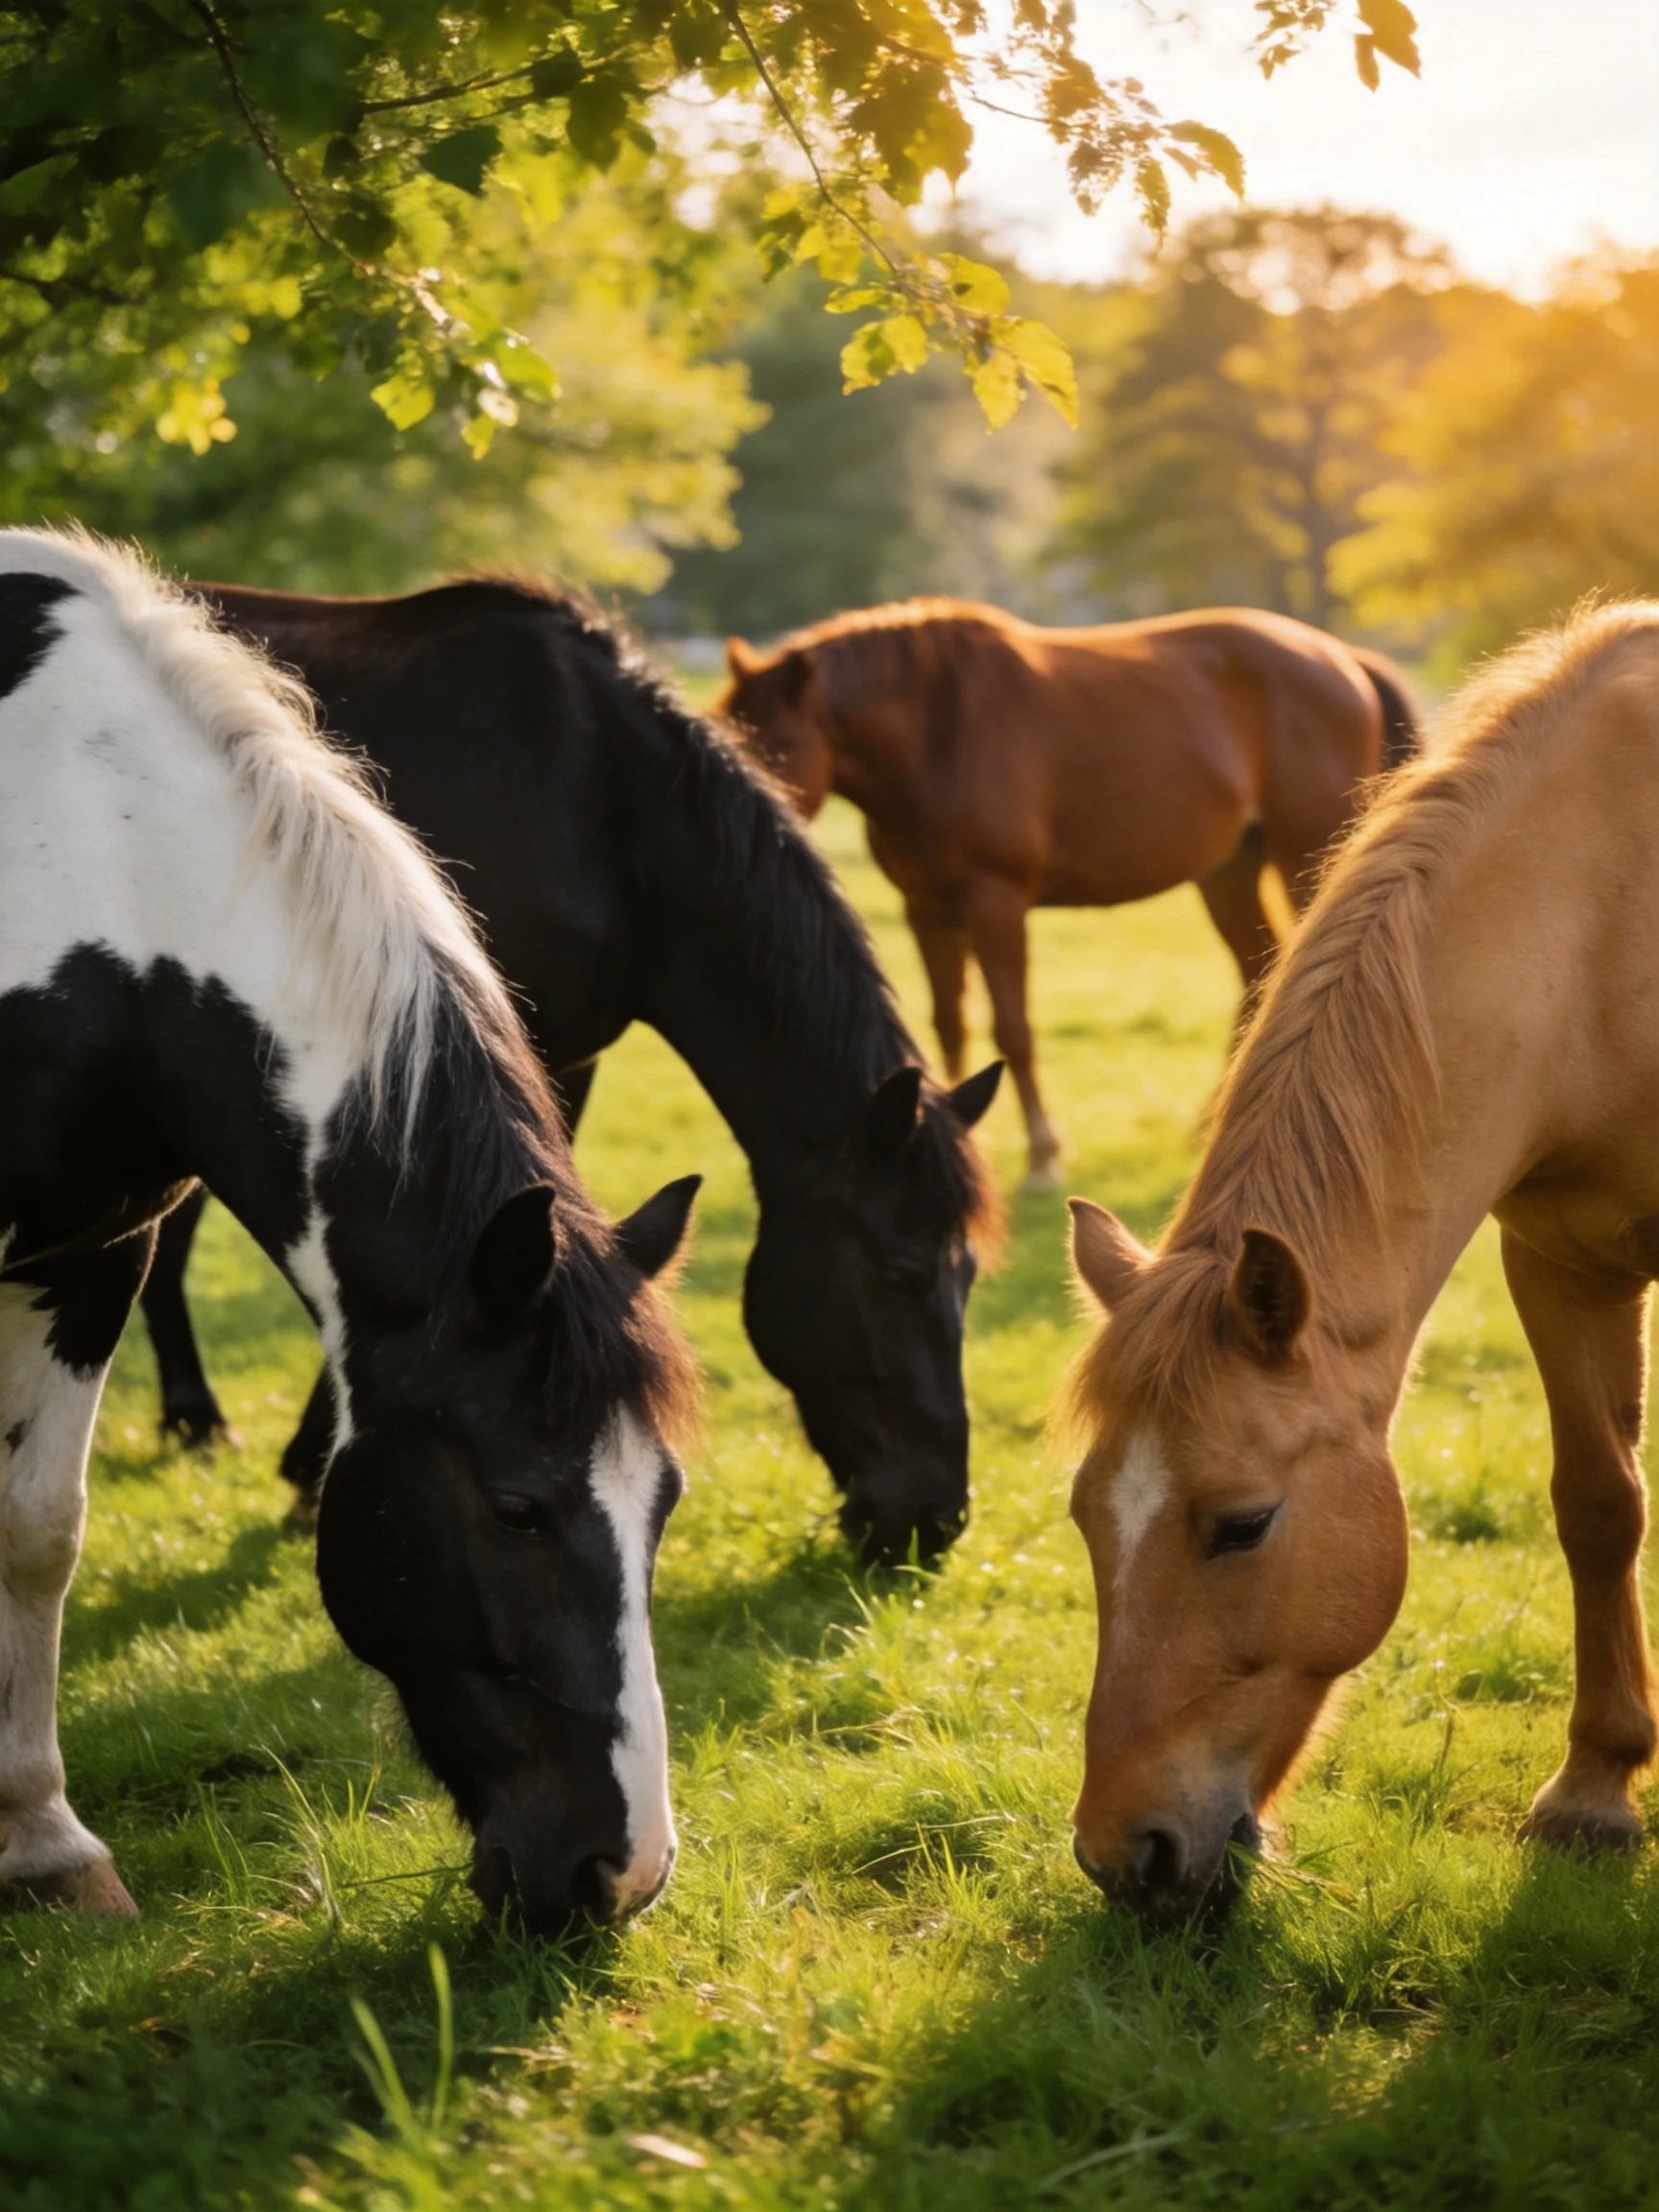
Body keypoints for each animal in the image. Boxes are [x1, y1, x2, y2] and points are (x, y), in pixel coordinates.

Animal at [0, 531, 703, 1935]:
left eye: (665, 1502)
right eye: (519, 1509)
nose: (624, 1873)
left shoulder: (89, 1254)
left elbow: (37, 1531)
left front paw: (41, 1844)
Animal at [140, 579, 1002, 1566]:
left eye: (970, 1275)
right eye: (902, 1274)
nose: (935, 1520)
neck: (604, 804)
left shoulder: (559, 1059)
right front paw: (312, 1472)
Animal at [720, 599, 1417, 1187]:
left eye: (777, 746)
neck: (939, 731)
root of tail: (1341, 659)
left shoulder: (995, 903)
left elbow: (1013, 1029)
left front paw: (1043, 1157)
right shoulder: (928, 909)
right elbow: (950, 1023)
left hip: (1307, 859)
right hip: (1228, 874)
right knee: (1258, 977)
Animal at [1063, 600, 1659, 1916]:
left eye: (1242, 1524)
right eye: (1085, 1516)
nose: (1126, 1857)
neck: (1610, 921)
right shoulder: (1561, 1261)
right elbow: (1599, 1505)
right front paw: (1597, 1786)